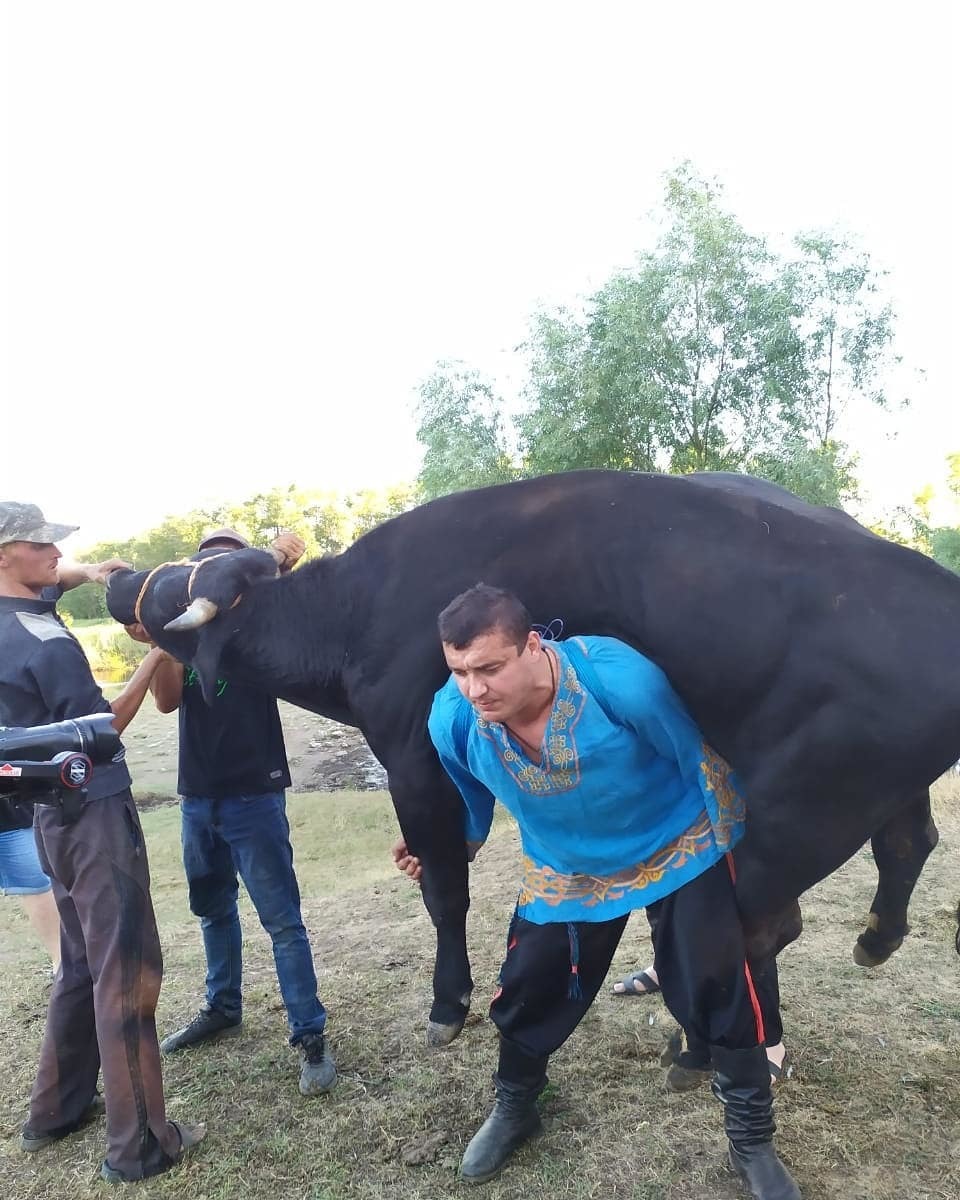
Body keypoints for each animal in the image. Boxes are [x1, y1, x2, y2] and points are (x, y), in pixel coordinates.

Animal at [105, 468, 960, 1041]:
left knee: (771, 915)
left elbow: (444, 890)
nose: (116, 579)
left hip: (809, 803)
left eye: (178, 579)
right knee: (908, 841)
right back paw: (872, 939)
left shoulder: (413, 763)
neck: (349, 616)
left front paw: (448, 1004)